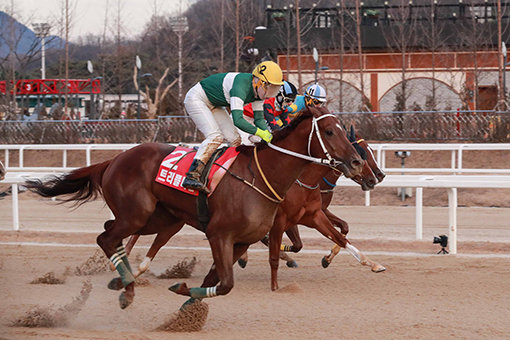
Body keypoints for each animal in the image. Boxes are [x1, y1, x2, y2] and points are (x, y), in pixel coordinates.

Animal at [24, 107, 362, 310]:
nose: (357, 163)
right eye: (329, 131)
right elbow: (226, 283)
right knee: (105, 237)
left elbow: (215, 281)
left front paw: (187, 300)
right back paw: (128, 287)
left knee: (112, 233)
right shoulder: (219, 234)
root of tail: (115, 159)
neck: (261, 176)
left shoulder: (243, 240)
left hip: (157, 218)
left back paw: (123, 276)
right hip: (137, 213)